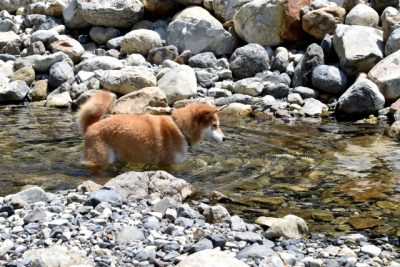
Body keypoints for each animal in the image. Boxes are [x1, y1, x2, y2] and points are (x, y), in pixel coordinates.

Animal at [76, 90, 225, 170]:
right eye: (215, 125)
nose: (224, 138)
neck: (180, 128)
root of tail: (91, 126)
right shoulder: (165, 163)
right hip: (100, 159)